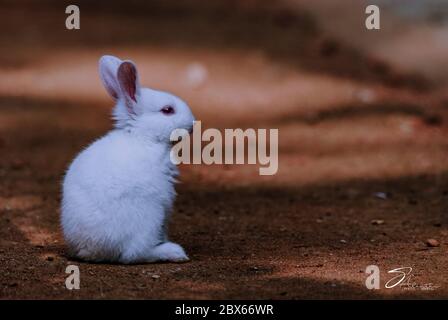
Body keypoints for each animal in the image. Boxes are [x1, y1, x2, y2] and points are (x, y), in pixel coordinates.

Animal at [60, 55, 194, 264]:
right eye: (167, 110)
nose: (192, 124)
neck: (143, 137)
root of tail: (92, 250)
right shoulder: (165, 201)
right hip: (150, 215)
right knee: (134, 254)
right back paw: (173, 252)